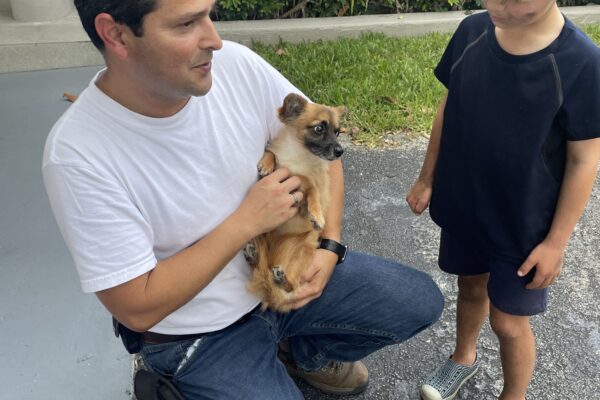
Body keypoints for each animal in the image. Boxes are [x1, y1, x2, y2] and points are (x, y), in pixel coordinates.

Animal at [245, 94, 346, 312]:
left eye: (337, 132)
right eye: (319, 128)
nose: (340, 151)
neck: (299, 156)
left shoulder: (305, 194)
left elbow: (313, 190)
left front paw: (316, 215)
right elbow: (272, 153)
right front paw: (266, 163)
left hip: (301, 253)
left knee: (291, 286)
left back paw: (282, 280)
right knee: (261, 267)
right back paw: (254, 256)